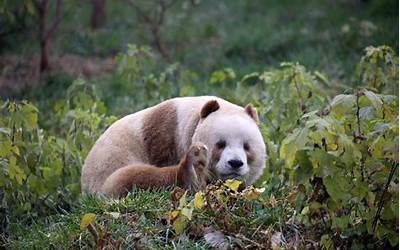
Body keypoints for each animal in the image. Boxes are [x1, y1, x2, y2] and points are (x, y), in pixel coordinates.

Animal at [81, 95, 266, 197]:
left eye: (246, 146)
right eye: (220, 144)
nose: (235, 163)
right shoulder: (166, 135)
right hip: (107, 173)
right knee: (132, 177)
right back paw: (192, 170)